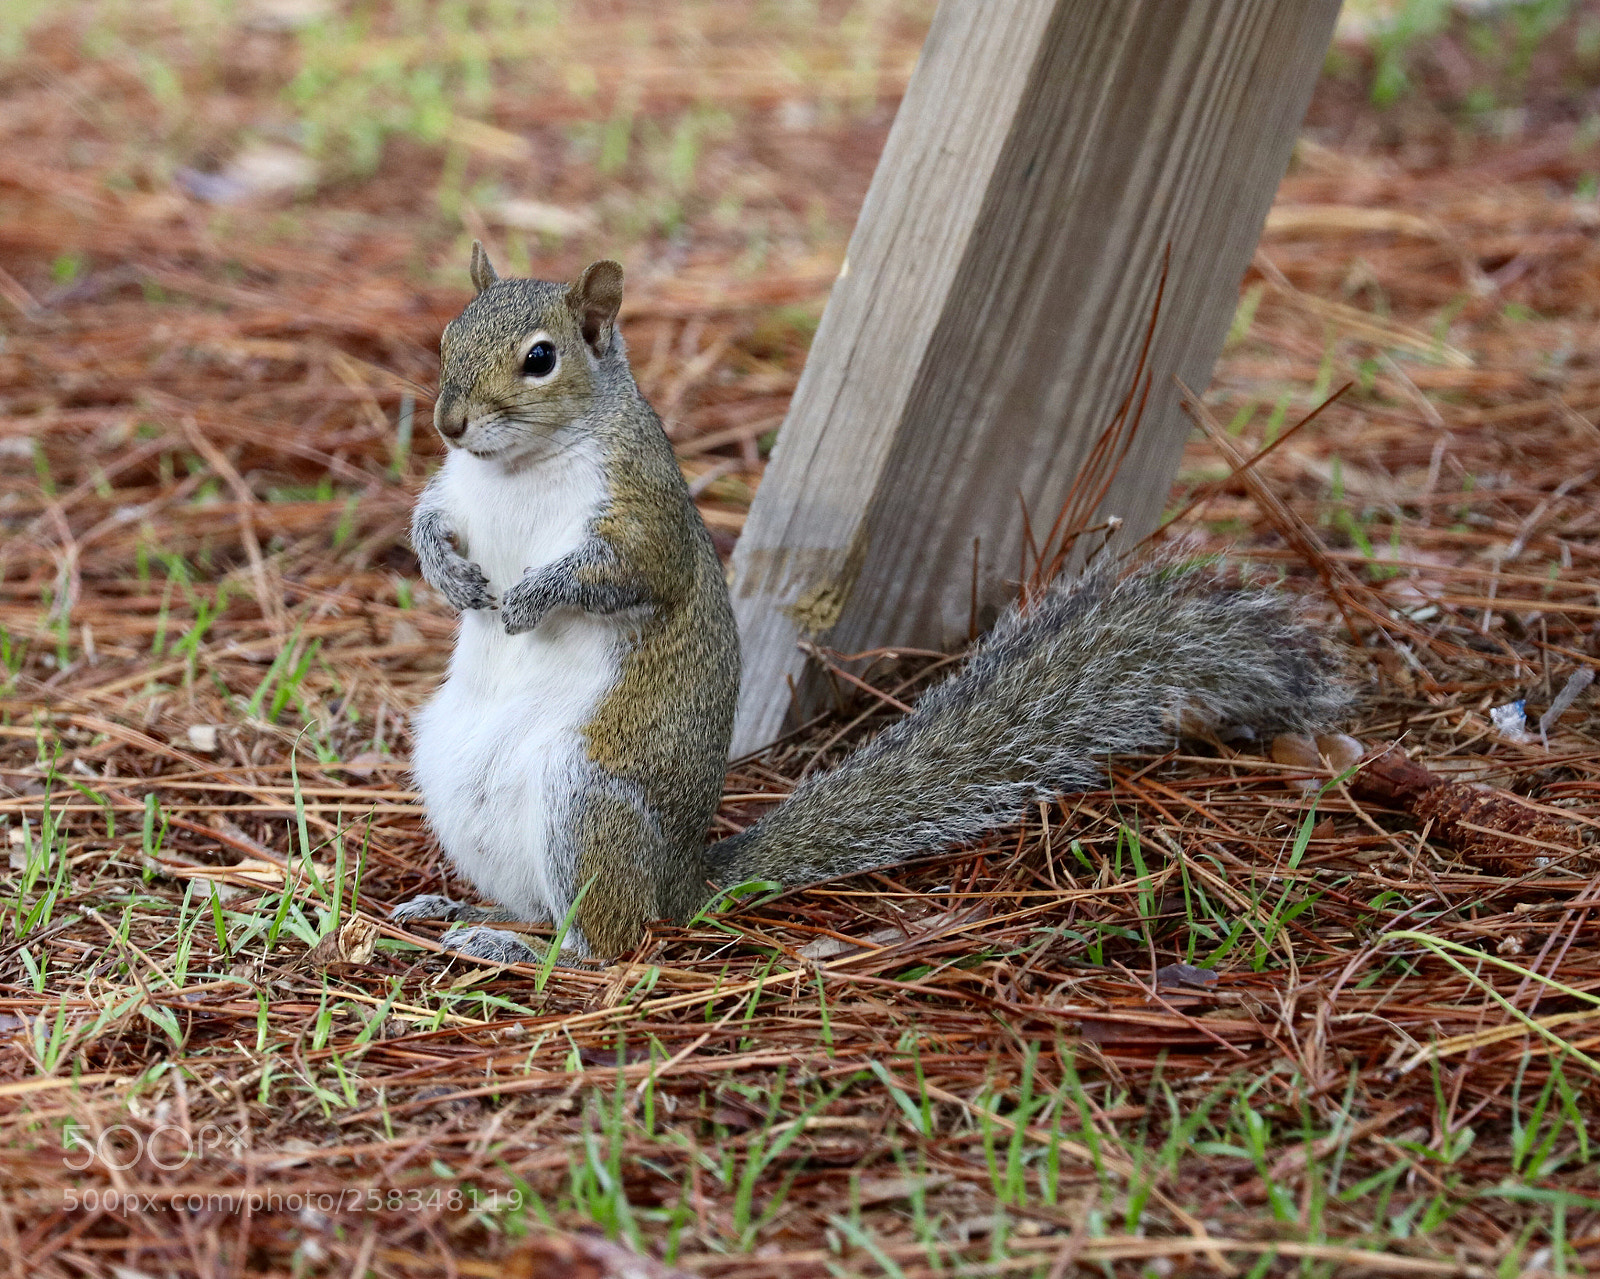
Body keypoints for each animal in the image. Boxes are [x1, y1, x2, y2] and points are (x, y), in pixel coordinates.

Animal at [392, 245, 1351, 963]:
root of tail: (682, 882)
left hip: (587, 798)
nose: (447, 423)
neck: (515, 469)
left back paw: (521, 948)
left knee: (609, 941)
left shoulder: (641, 514)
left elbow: (630, 574)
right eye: (447, 334)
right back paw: (460, 912)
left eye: (540, 358)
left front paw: (528, 598)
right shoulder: (455, 490)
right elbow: (429, 519)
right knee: (543, 905)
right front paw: (452, 576)